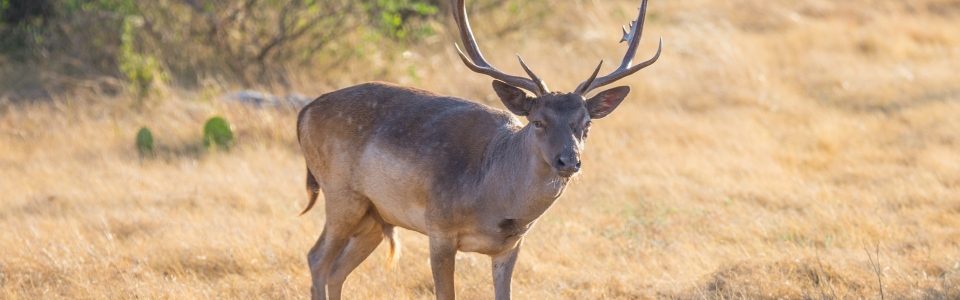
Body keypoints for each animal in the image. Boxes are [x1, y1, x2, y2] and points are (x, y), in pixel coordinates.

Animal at [298, 0, 660, 298]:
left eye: (586, 124)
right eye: (538, 121)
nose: (568, 161)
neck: (491, 199)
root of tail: (305, 112)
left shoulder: (511, 245)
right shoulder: (439, 227)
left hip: (374, 216)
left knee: (336, 272)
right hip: (341, 193)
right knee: (317, 259)